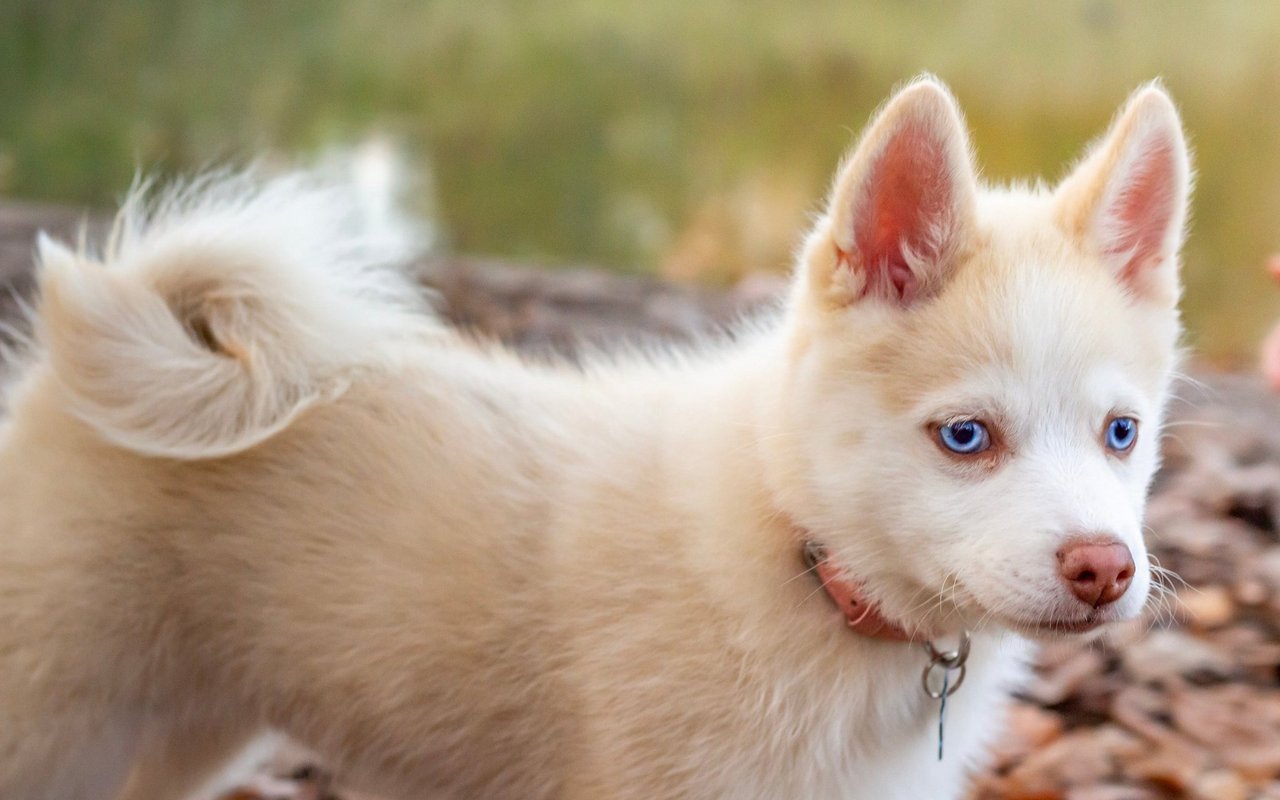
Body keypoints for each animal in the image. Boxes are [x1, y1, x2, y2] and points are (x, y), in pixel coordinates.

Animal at [0, 76, 1187, 798]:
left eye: (1121, 432)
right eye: (964, 435)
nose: (1102, 568)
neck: (802, 552)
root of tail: (93, 336)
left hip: (180, 736)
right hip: (57, 726)